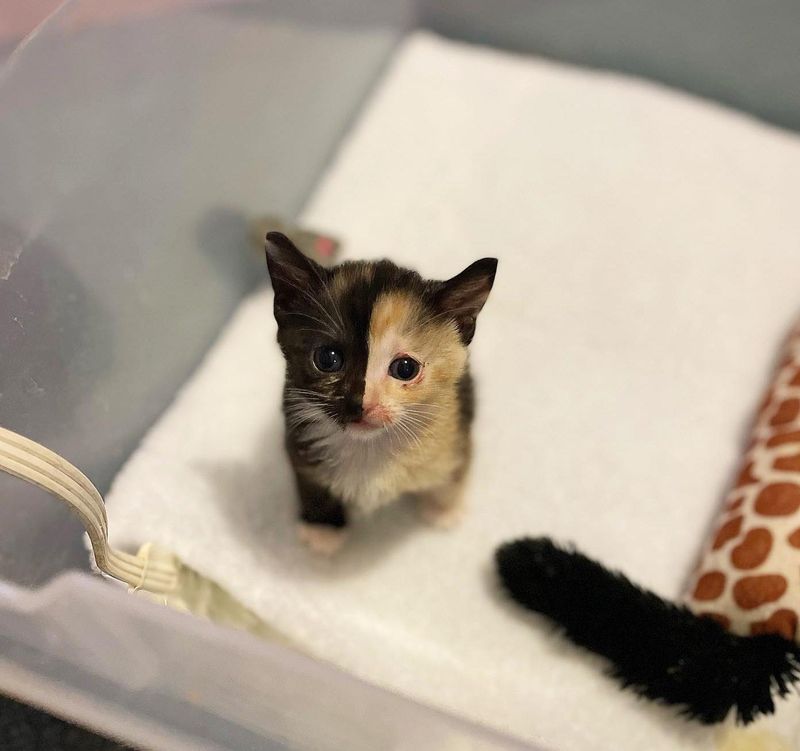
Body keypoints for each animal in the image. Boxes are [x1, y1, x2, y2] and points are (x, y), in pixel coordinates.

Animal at [266, 232, 496, 556]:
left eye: (405, 368)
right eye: (327, 359)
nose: (361, 404)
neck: (369, 447)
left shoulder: (456, 425)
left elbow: (457, 466)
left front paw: (444, 511)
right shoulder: (297, 434)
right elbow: (311, 483)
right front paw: (323, 529)